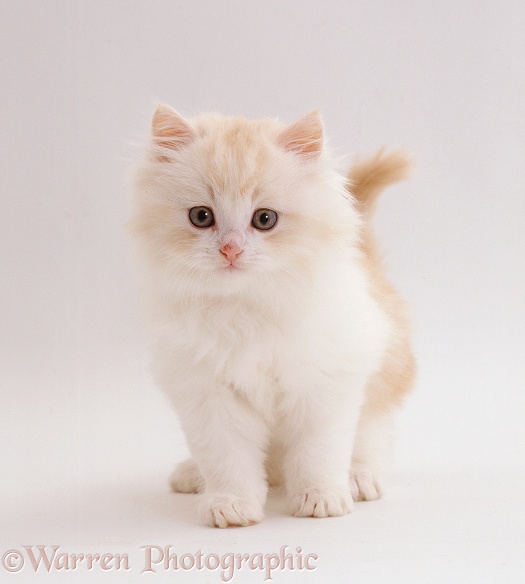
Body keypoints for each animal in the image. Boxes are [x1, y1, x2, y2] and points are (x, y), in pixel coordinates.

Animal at [128, 105, 414, 528]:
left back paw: (358, 478)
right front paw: (231, 503)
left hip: (380, 383)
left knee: (371, 441)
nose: (230, 250)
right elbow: (226, 457)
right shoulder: (207, 393)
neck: (245, 308)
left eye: (264, 219)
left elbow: (319, 451)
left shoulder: (325, 382)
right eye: (201, 216)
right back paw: (194, 475)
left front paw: (321, 497)